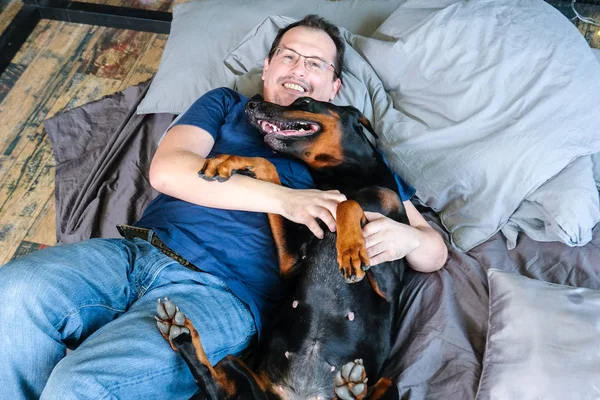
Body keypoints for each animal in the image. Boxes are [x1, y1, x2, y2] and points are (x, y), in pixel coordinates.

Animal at [155, 96, 408, 400]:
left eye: (305, 101)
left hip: (389, 382)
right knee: (214, 384)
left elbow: (347, 203)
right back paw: (179, 331)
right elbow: (270, 168)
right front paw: (229, 161)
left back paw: (352, 386)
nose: (252, 103)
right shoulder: (293, 261)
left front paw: (350, 250)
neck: (344, 179)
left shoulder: (389, 282)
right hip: (236, 365)